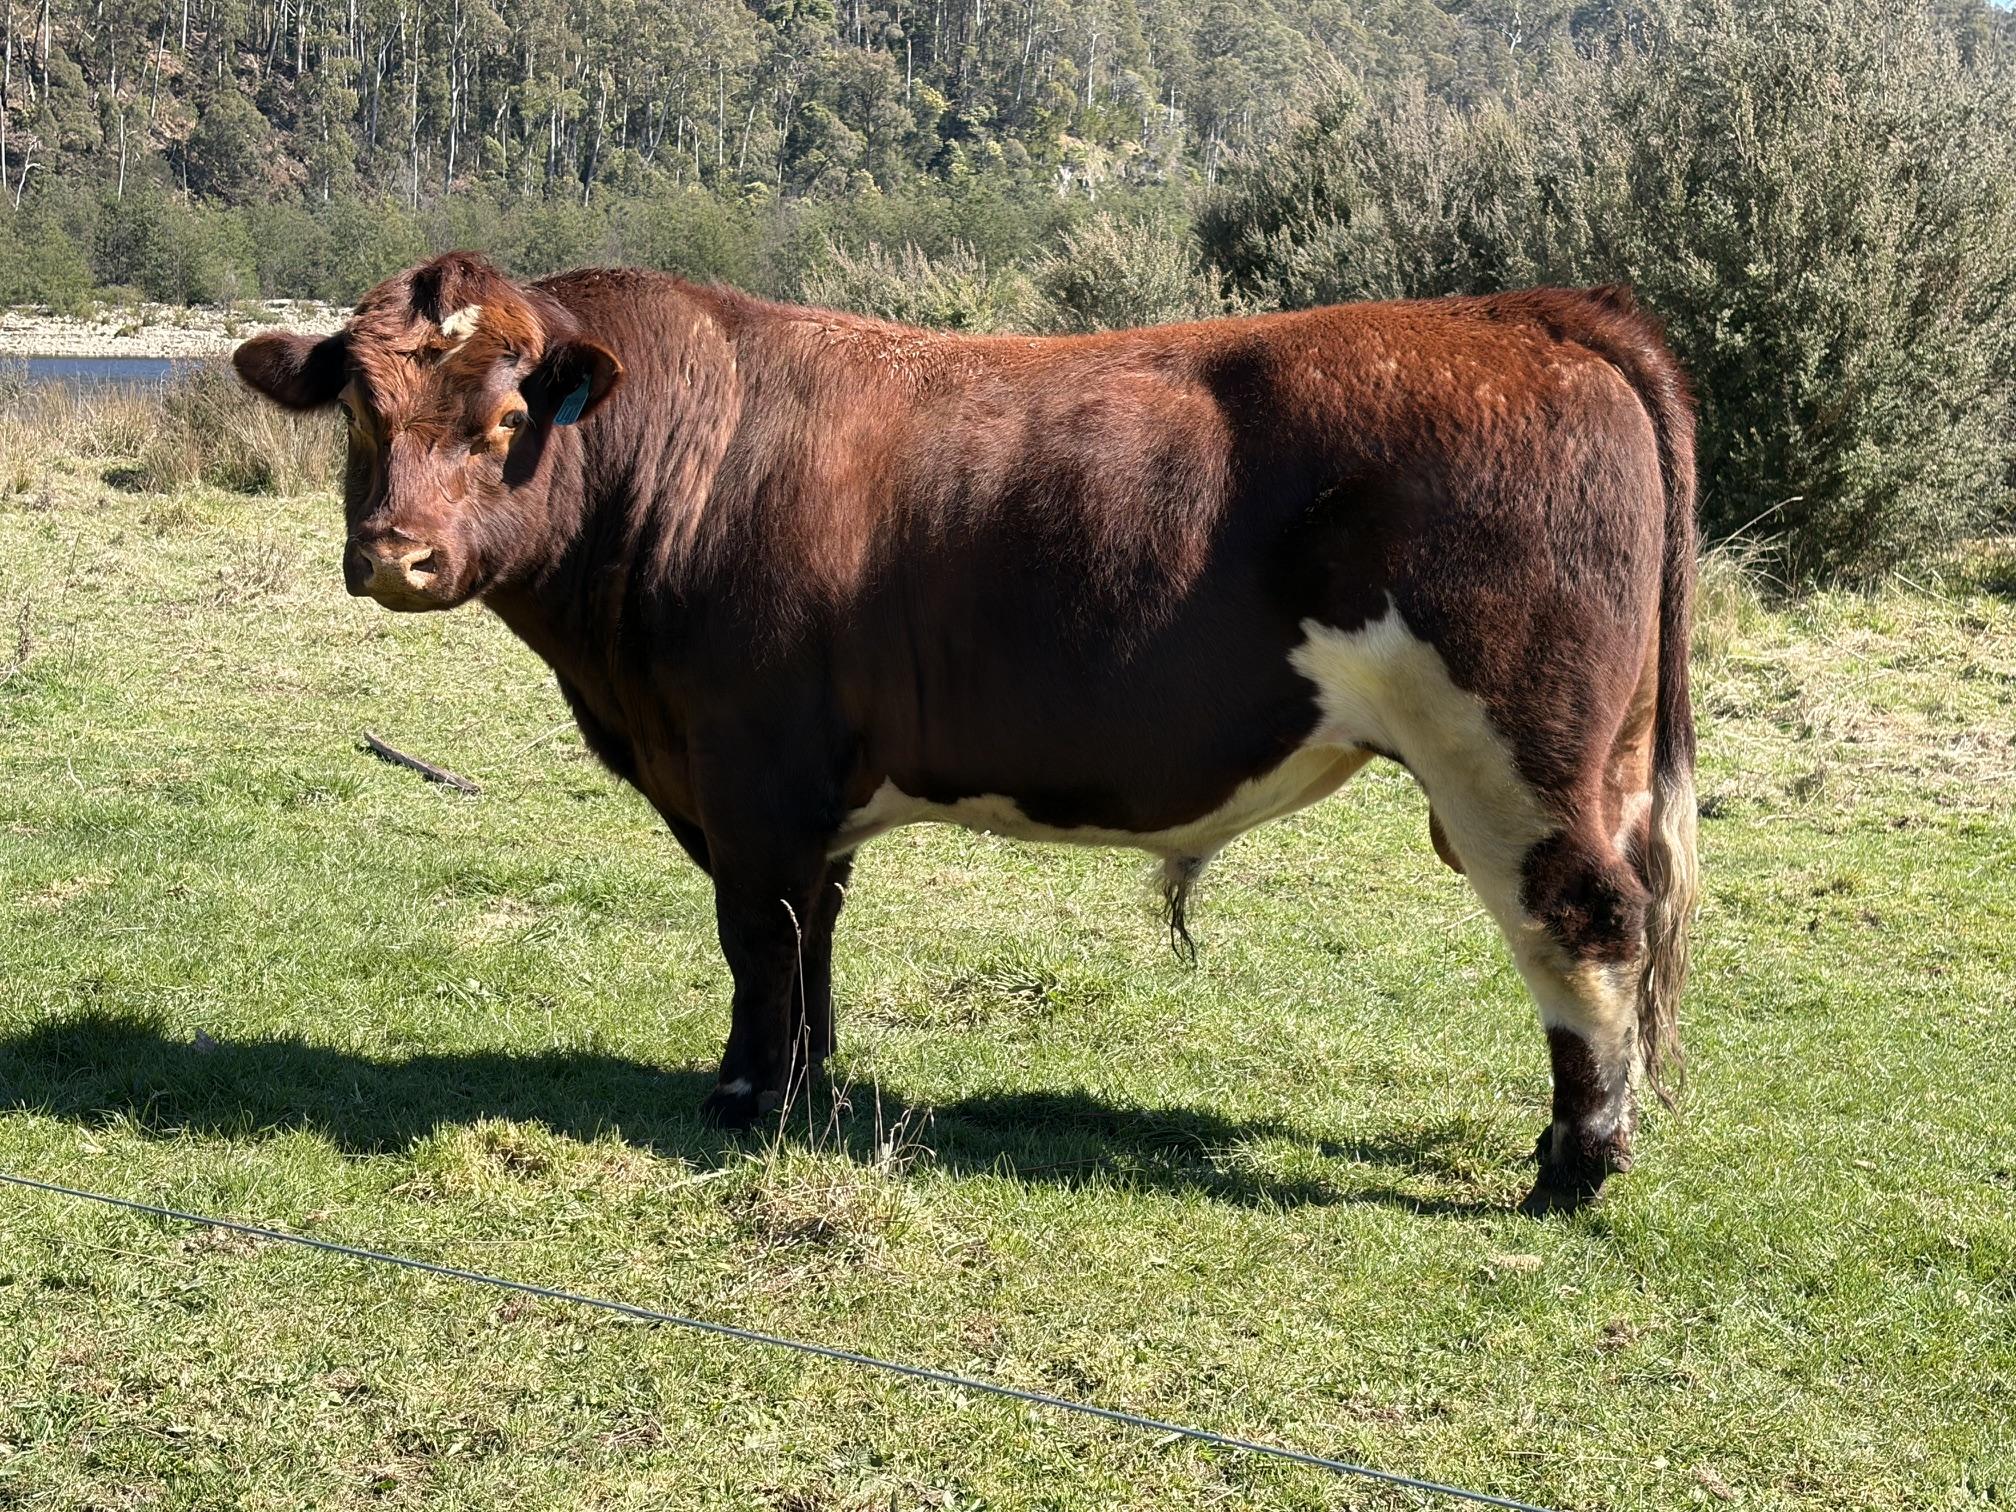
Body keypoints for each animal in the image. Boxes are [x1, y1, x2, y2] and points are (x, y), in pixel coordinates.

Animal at [233, 251, 1698, 1213]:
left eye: (503, 418)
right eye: (359, 412)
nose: (397, 555)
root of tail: (1528, 313)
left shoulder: (748, 770)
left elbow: (758, 940)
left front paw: (747, 1100)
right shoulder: (797, 791)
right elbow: (813, 936)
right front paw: (812, 1088)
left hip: (1509, 754)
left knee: (1583, 922)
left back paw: (1573, 1170)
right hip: (1603, 763)